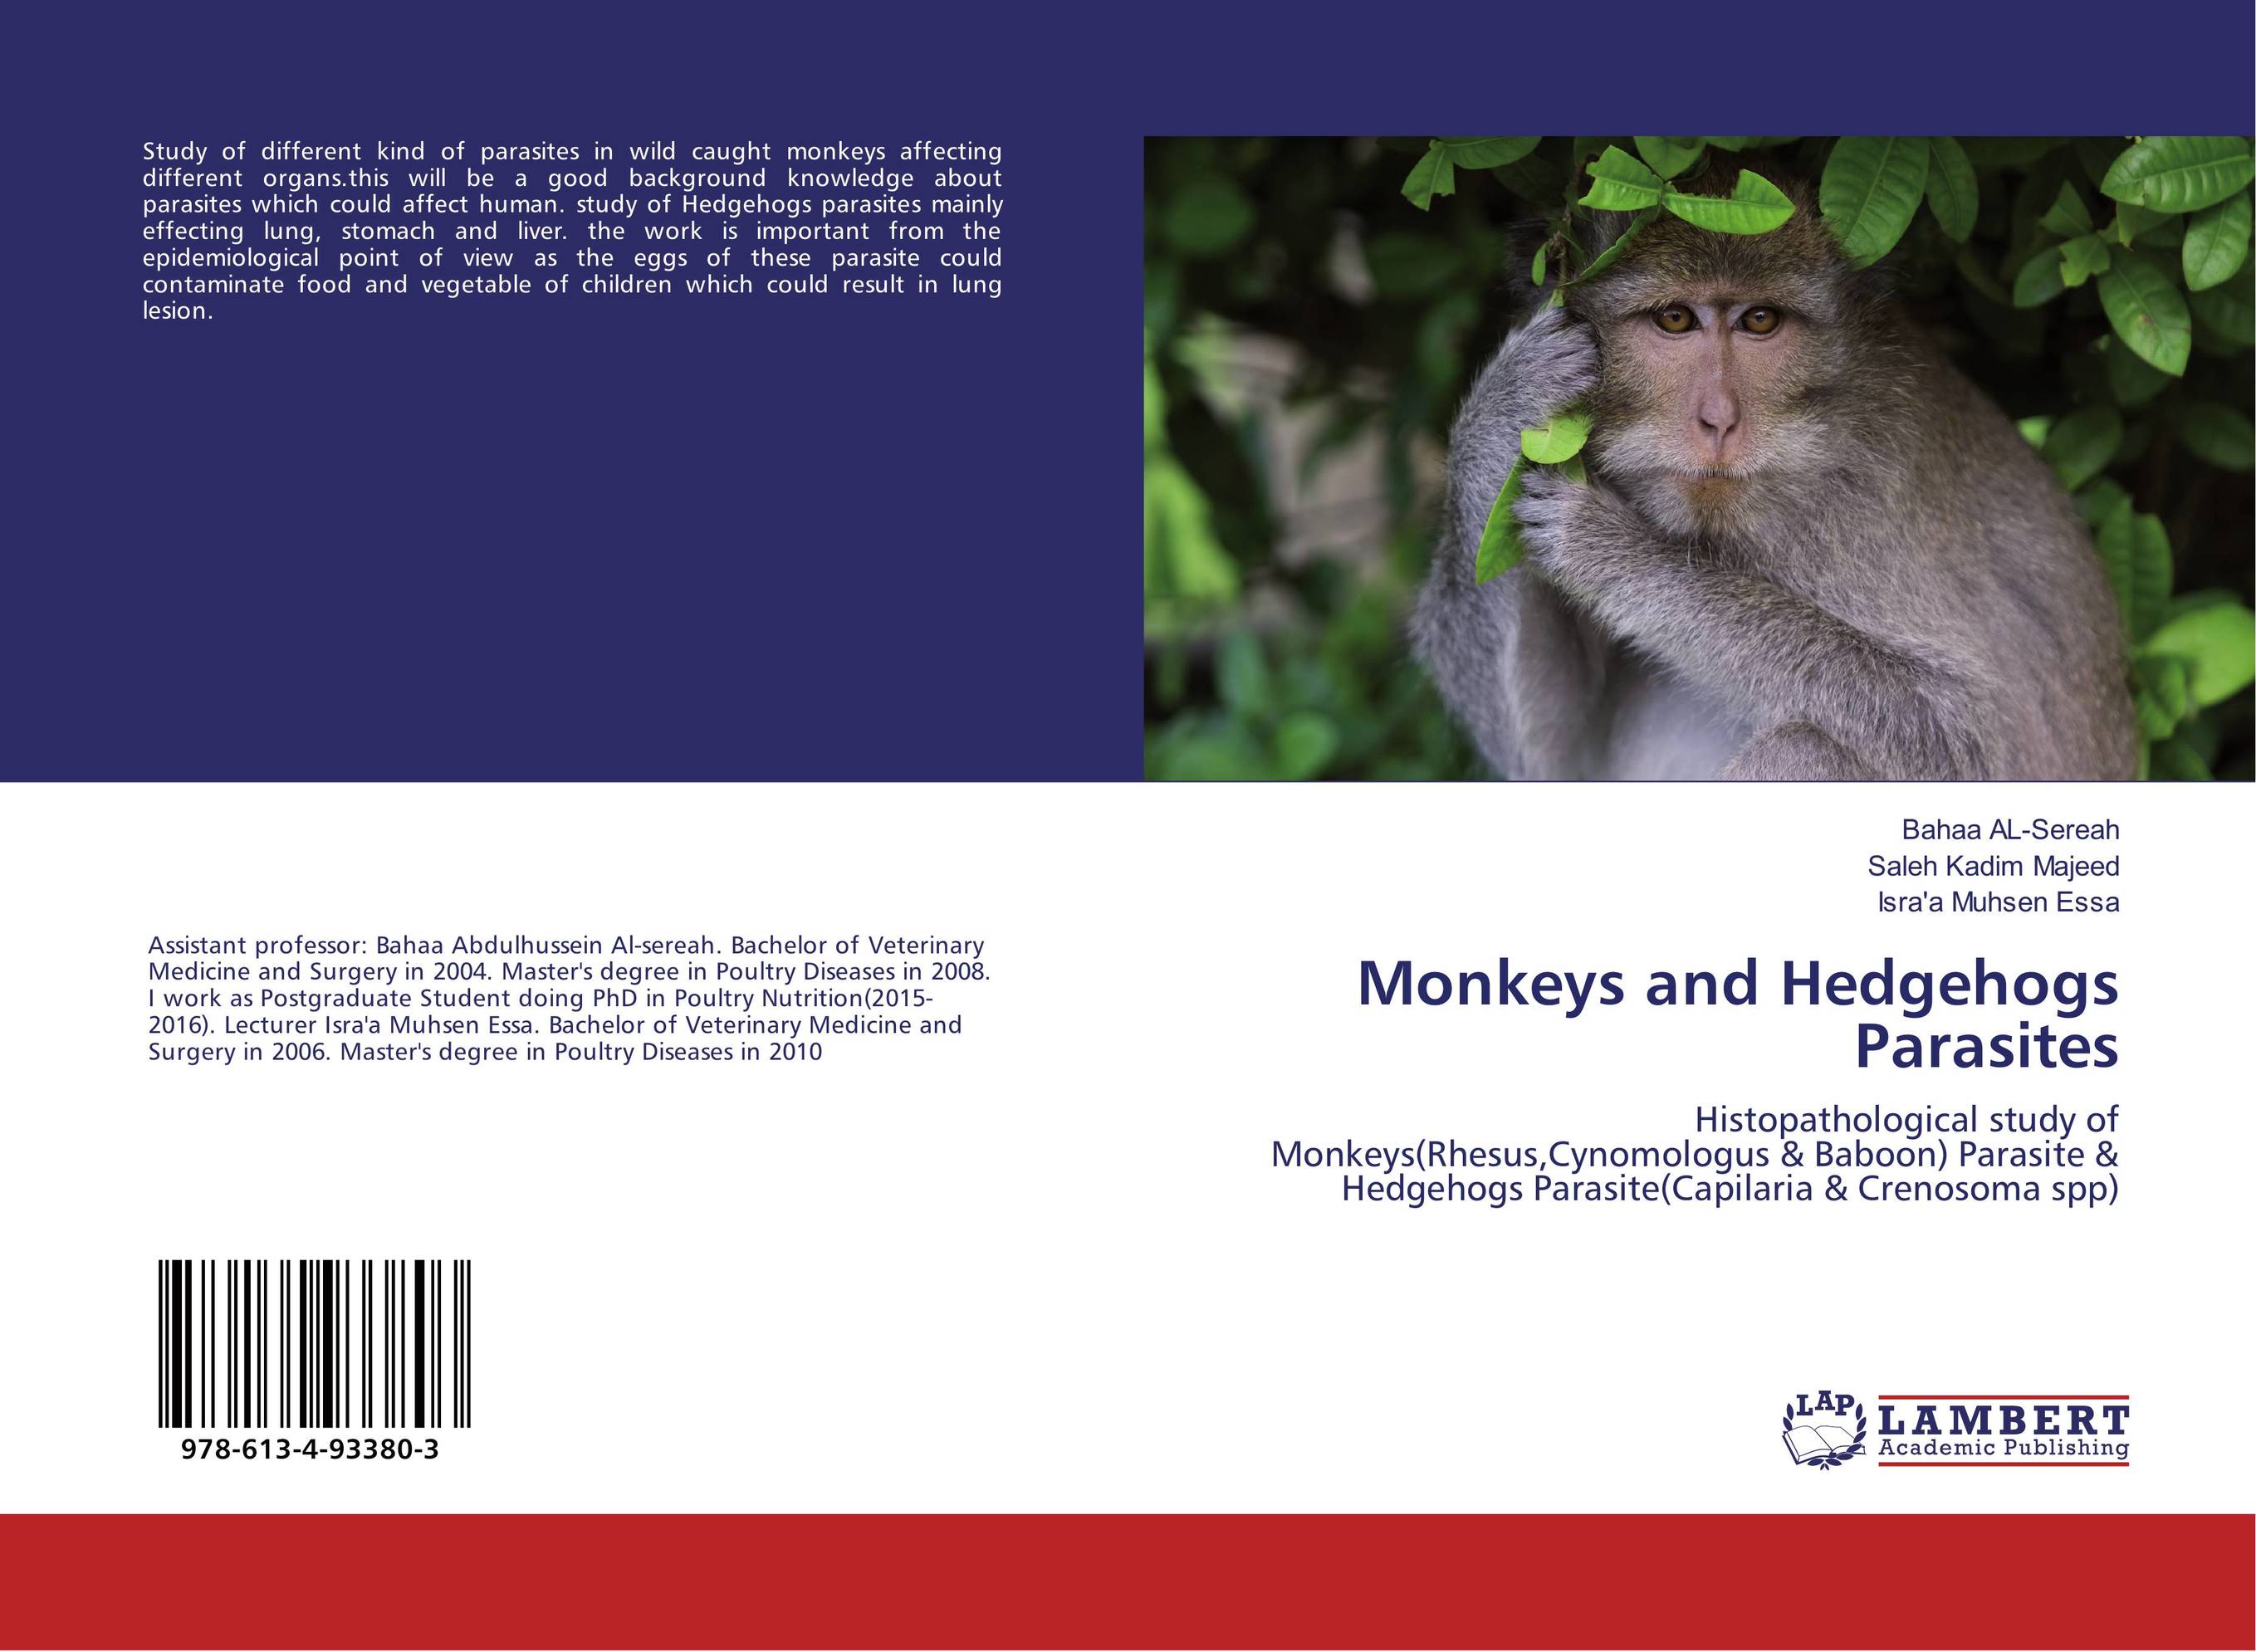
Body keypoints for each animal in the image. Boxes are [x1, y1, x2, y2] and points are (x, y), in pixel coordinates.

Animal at [1413, 166, 2139, 781]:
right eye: (1674, 318)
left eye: (1759, 320)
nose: (1718, 421)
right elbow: (1549, 753)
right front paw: (1507, 400)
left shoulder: (1858, 507)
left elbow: (1961, 731)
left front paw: (1615, 553)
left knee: (1810, 749)